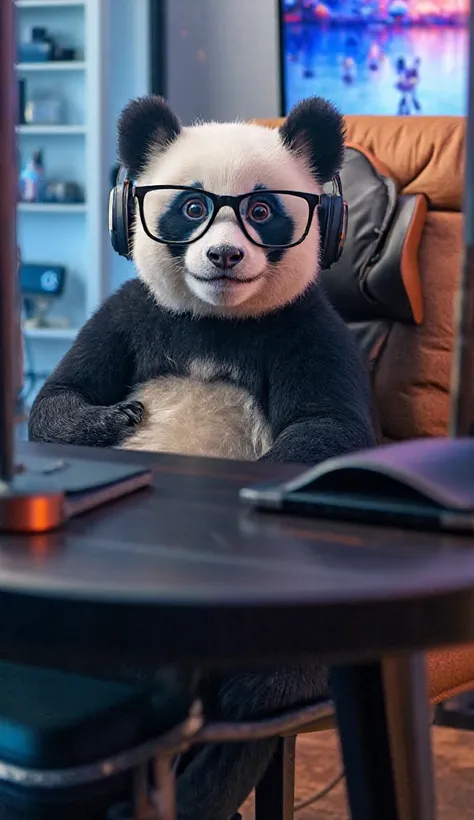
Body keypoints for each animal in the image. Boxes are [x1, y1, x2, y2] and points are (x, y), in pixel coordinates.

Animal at [29, 93, 376, 816]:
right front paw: (122, 418)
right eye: (191, 207)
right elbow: (57, 399)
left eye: (262, 210)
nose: (222, 256)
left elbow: (330, 427)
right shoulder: (133, 314)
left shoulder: (305, 326)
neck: (217, 319)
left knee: (259, 696)